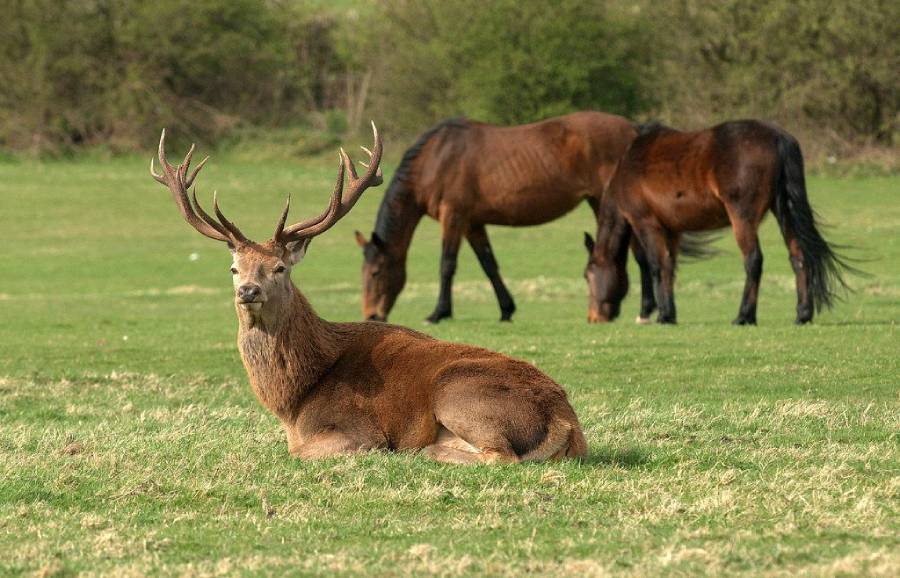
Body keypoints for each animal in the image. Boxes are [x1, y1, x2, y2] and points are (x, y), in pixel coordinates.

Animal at [149, 123, 587, 463]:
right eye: (234, 268)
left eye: (280, 268)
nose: (248, 290)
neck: (293, 402)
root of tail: (568, 422)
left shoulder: (357, 431)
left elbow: (300, 452)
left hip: (459, 390)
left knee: (501, 455)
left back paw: (428, 450)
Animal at [354, 112, 640, 323]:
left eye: (376, 272)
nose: (371, 316)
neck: (436, 160)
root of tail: (634, 130)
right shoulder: (472, 223)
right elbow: (489, 264)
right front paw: (506, 309)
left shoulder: (454, 216)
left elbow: (447, 265)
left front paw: (438, 313)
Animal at [585, 120, 854, 325]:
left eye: (588, 275)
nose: (593, 318)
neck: (627, 166)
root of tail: (778, 137)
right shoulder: (672, 230)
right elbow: (669, 266)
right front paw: (669, 313)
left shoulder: (646, 223)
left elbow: (653, 265)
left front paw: (660, 314)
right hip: (784, 212)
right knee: (798, 257)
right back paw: (802, 314)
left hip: (742, 218)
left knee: (753, 260)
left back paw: (744, 316)